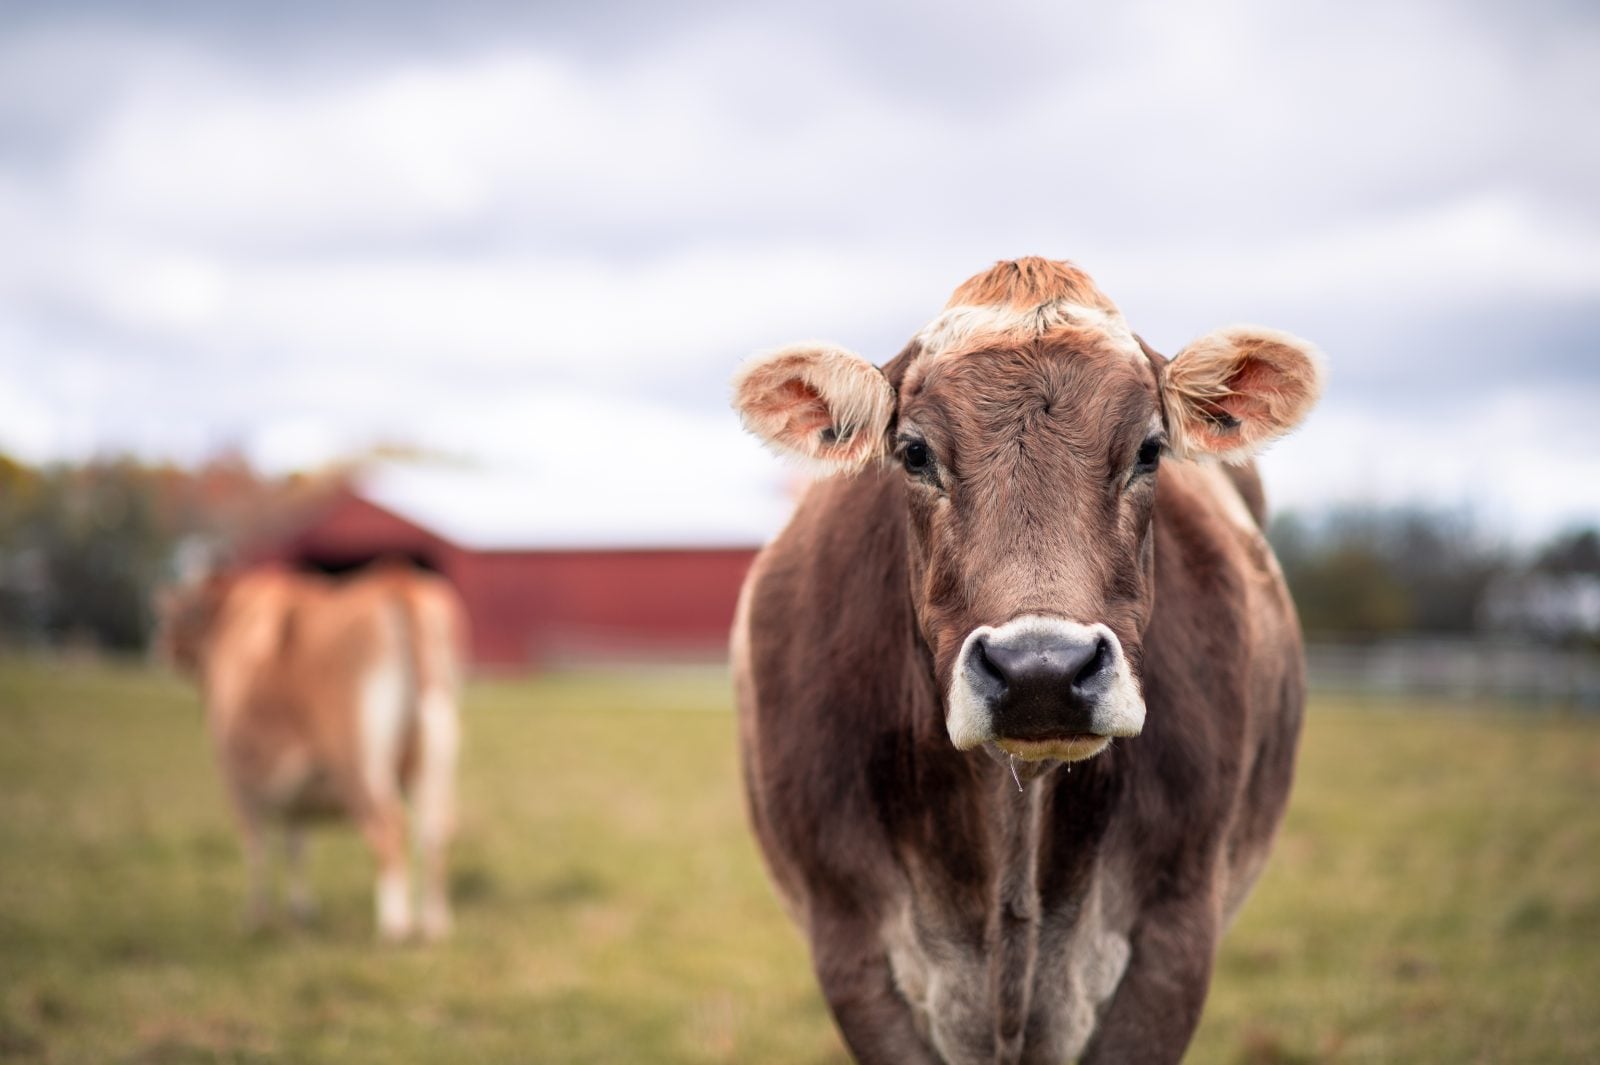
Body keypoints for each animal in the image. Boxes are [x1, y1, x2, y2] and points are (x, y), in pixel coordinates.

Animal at [160, 563, 466, 942]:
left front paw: (255, 918)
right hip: (434, 759)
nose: (162, 649)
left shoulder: (238, 782)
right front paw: (302, 912)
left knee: (389, 828)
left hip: (358, 763)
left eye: (171, 616)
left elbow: (256, 849)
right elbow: (297, 847)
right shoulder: (297, 797)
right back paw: (435, 925)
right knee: (435, 832)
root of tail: (396, 583)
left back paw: (394, 927)